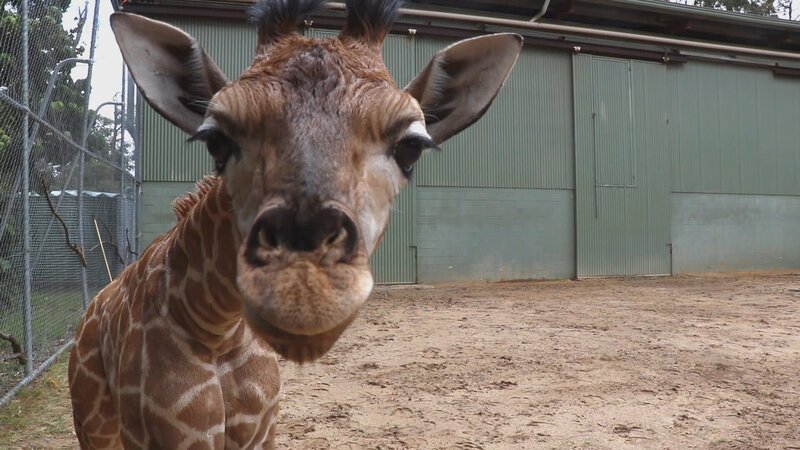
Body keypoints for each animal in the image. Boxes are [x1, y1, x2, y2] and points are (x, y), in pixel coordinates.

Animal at [68, 0, 522, 448]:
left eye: (411, 146)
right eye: (217, 140)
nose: (304, 293)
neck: (217, 328)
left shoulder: (262, 430)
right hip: (95, 423)